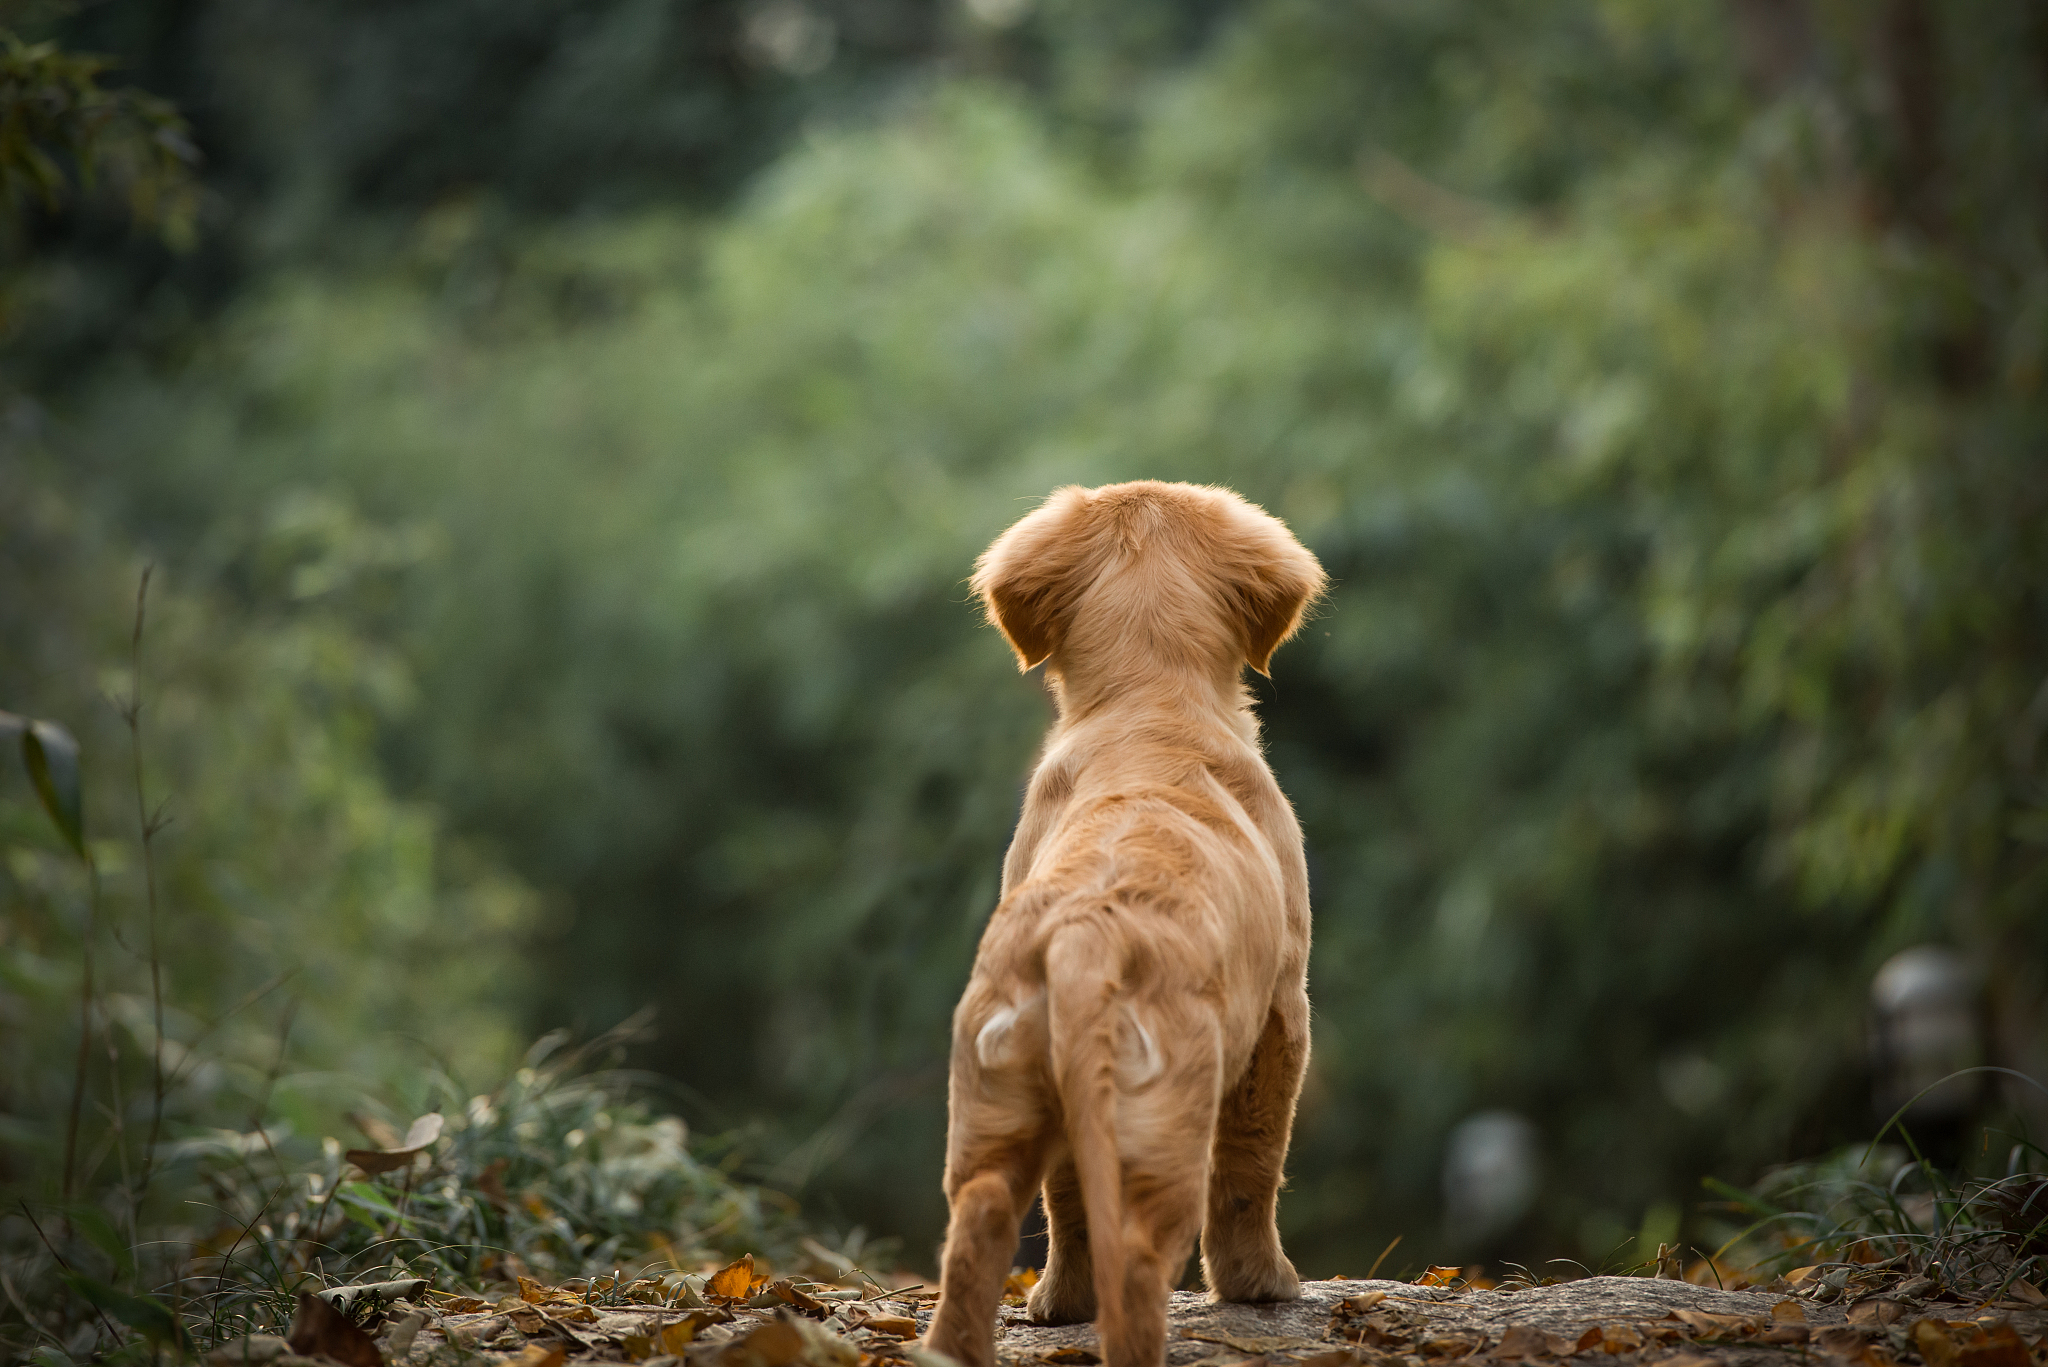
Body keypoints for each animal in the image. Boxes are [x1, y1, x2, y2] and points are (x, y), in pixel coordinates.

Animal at [929, 479, 1327, 1367]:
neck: (1149, 711)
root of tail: (1088, 933)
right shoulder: (1284, 1009)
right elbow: (1254, 1164)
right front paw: (1263, 1285)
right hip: (1158, 1120)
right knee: (1141, 1256)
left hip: (999, 1102)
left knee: (990, 1220)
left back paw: (1030, 1313)